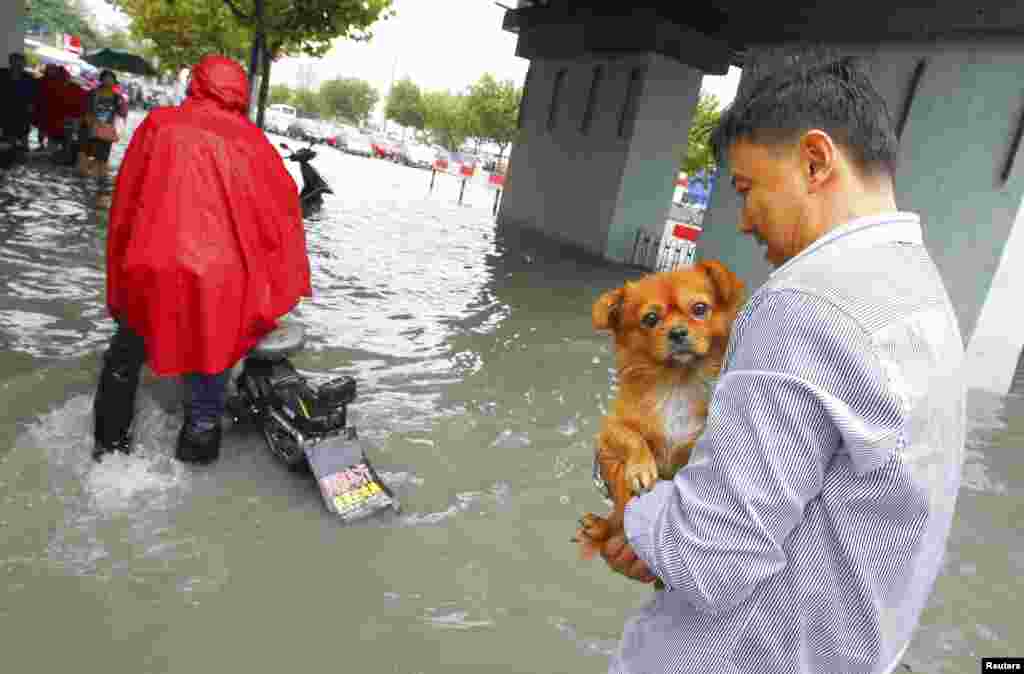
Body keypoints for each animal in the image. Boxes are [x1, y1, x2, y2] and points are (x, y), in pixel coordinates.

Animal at [577, 257, 745, 557]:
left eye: (700, 309)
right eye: (650, 319)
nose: (678, 332)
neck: (676, 382)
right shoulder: (610, 428)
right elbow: (632, 437)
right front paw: (641, 468)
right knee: (614, 520)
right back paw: (599, 527)